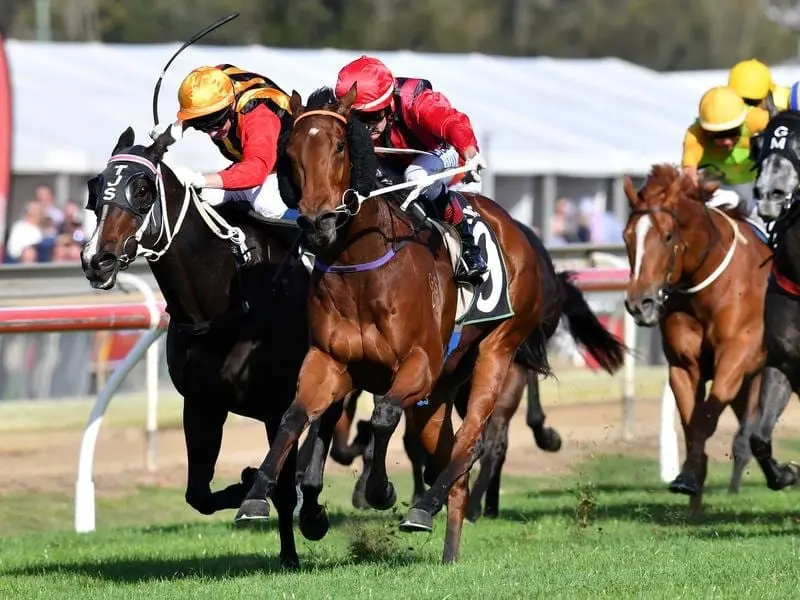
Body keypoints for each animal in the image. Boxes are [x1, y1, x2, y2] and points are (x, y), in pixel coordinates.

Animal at [81, 126, 340, 568]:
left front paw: (288, 549)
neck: (227, 301)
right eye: (96, 187)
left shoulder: (277, 405)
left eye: (143, 189)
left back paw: (313, 511)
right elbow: (198, 494)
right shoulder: (202, 403)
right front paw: (247, 483)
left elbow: (281, 483)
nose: (97, 260)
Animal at [236, 85, 552, 564]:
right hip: (440, 391)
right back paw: (449, 549)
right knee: (449, 454)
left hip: (496, 353)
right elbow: (295, 416)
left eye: (340, 145)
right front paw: (256, 497)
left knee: (472, 441)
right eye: (289, 151)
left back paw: (424, 508)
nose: (317, 222)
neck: (361, 266)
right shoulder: (329, 360)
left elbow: (383, 415)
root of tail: (518, 230)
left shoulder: (418, 363)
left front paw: (380, 490)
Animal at [620, 164, 768, 510]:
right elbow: (691, 423)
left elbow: (706, 416)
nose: (639, 303)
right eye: (627, 236)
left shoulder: (736, 358)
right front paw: (690, 483)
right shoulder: (684, 367)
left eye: (667, 235)